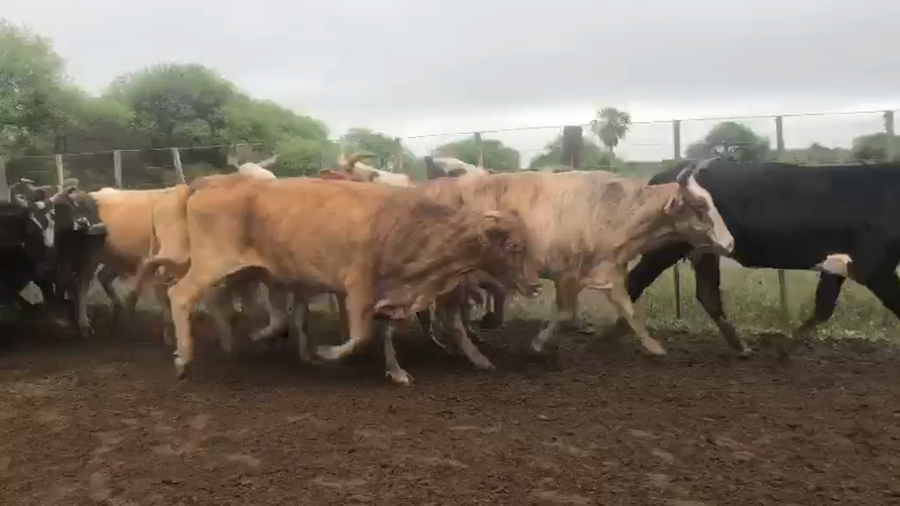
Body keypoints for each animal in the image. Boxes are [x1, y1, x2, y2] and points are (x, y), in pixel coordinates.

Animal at [145, 173, 541, 383]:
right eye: (513, 245)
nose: (535, 284)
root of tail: (207, 184)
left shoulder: (388, 293)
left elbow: (384, 333)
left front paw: (396, 372)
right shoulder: (358, 286)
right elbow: (361, 335)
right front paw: (327, 353)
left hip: (235, 272)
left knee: (217, 303)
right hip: (211, 265)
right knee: (180, 295)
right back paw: (183, 358)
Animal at [619, 159, 900, 358]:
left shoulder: (840, 267)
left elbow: (823, 306)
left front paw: (785, 350)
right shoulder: (875, 268)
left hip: (705, 252)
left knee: (707, 294)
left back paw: (740, 346)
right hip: (669, 248)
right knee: (635, 281)